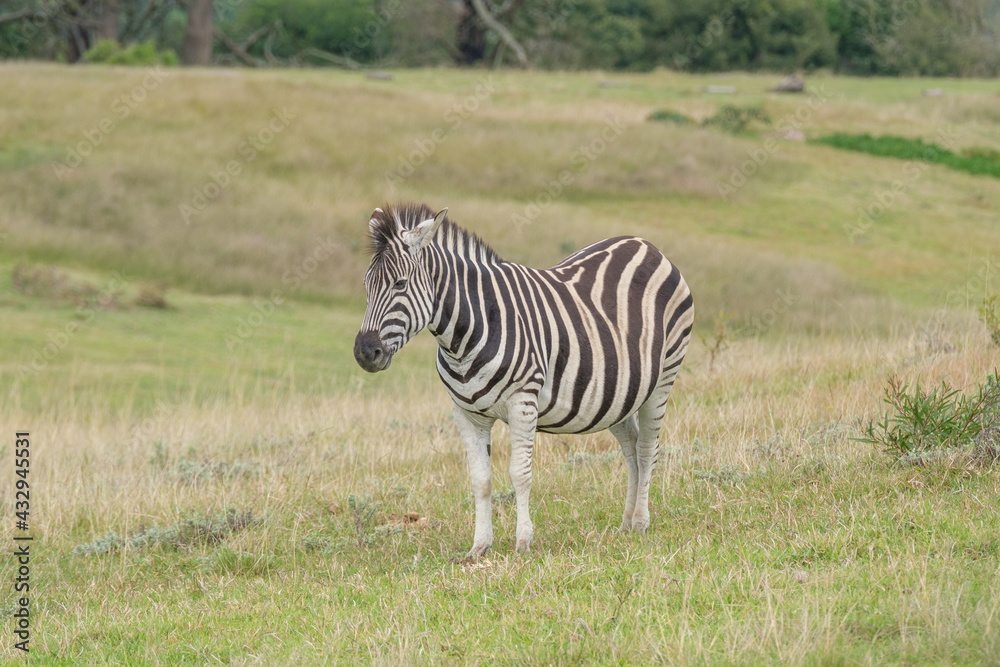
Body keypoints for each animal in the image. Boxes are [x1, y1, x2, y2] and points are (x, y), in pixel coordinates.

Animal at [354, 203, 694, 558]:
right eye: (366, 286)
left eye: (400, 284)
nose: (364, 352)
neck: (466, 333)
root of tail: (645, 244)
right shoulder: (465, 413)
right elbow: (480, 480)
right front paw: (479, 546)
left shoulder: (523, 401)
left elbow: (520, 473)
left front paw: (523, 542)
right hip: (617, 394)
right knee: (631, 447)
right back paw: (626, 523)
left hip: (662, 380)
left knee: (646, 448)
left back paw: (640, 522)